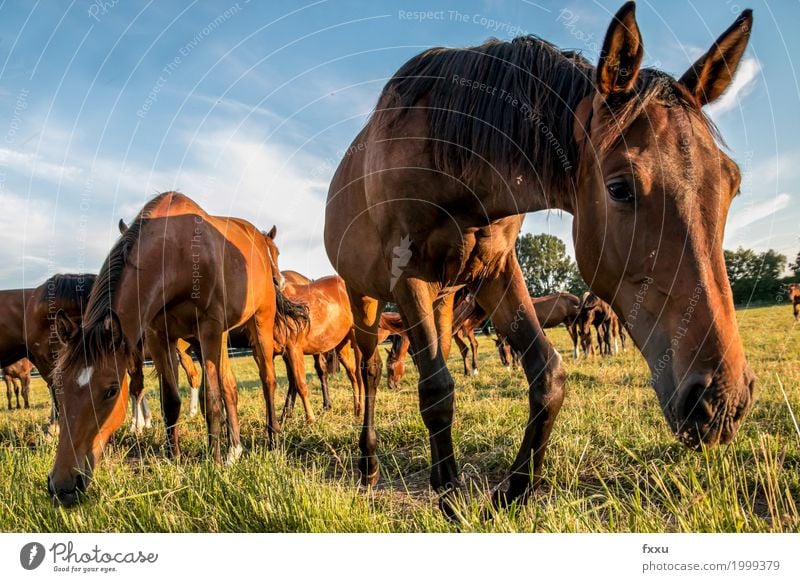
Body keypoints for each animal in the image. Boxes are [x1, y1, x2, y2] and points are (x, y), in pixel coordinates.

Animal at [49, 194, 306, 508]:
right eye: (58, 387)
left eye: (110, 391)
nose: (62, 485)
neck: (176, 253)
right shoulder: (159, 337)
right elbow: (171, 402)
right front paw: (175, 459)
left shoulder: (208, 329)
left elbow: (211, 399)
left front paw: (214, 464)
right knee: (230, 386)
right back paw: (234, 450)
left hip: (260, 322)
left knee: (267, 379)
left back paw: (272, 440)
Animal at [324, 5, 756, 516]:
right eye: (620, 188)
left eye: (733, 183)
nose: (722, 401)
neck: (447, 154)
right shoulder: (407, 276)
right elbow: (435, 391)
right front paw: (449, 496)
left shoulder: (496, 271)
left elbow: (548, 376)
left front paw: (512, 490)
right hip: (365, 297)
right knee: (370, 369)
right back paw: (368, 466)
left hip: (444, 298)